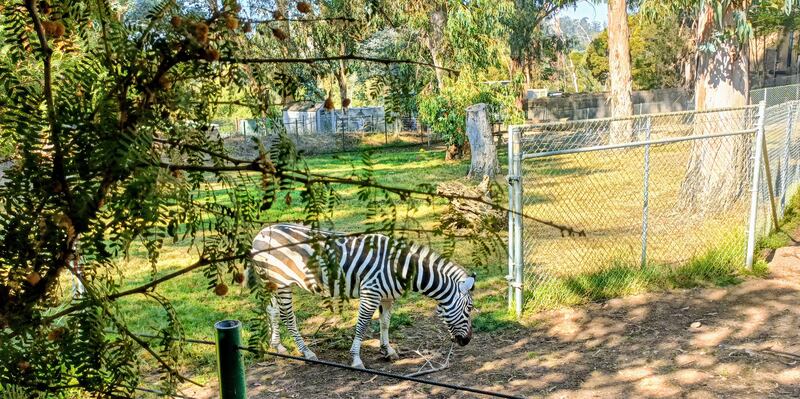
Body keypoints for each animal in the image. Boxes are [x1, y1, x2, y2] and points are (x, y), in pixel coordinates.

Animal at [247, 223, 478, 368]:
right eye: (469, 309)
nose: (467, 341)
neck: (401, 268)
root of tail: (261, 232)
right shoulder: (371, 293)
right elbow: (362, 325)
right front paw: (356, 359)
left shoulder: (387, 297)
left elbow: (385, 323)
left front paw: (388, 350)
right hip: (282, 283)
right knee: (288, 317)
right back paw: (306, 352)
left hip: (271, 282)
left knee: (272, 311)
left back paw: (277, 345)